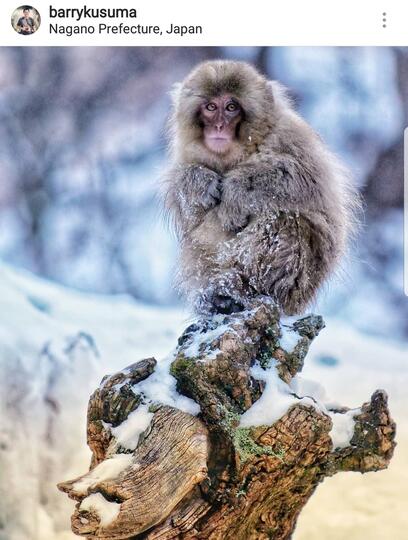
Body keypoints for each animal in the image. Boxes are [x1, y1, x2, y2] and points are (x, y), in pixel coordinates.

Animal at [163, 60, 356, 314]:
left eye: (232, 107)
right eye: (211, 107)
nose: (219, 126)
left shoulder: (291, 137)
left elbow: (304, 179)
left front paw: (235, 191)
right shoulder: (187, 153)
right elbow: (188, 212)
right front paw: (197, 182)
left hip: (297, 285)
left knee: (287, 220)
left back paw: (241, 289)